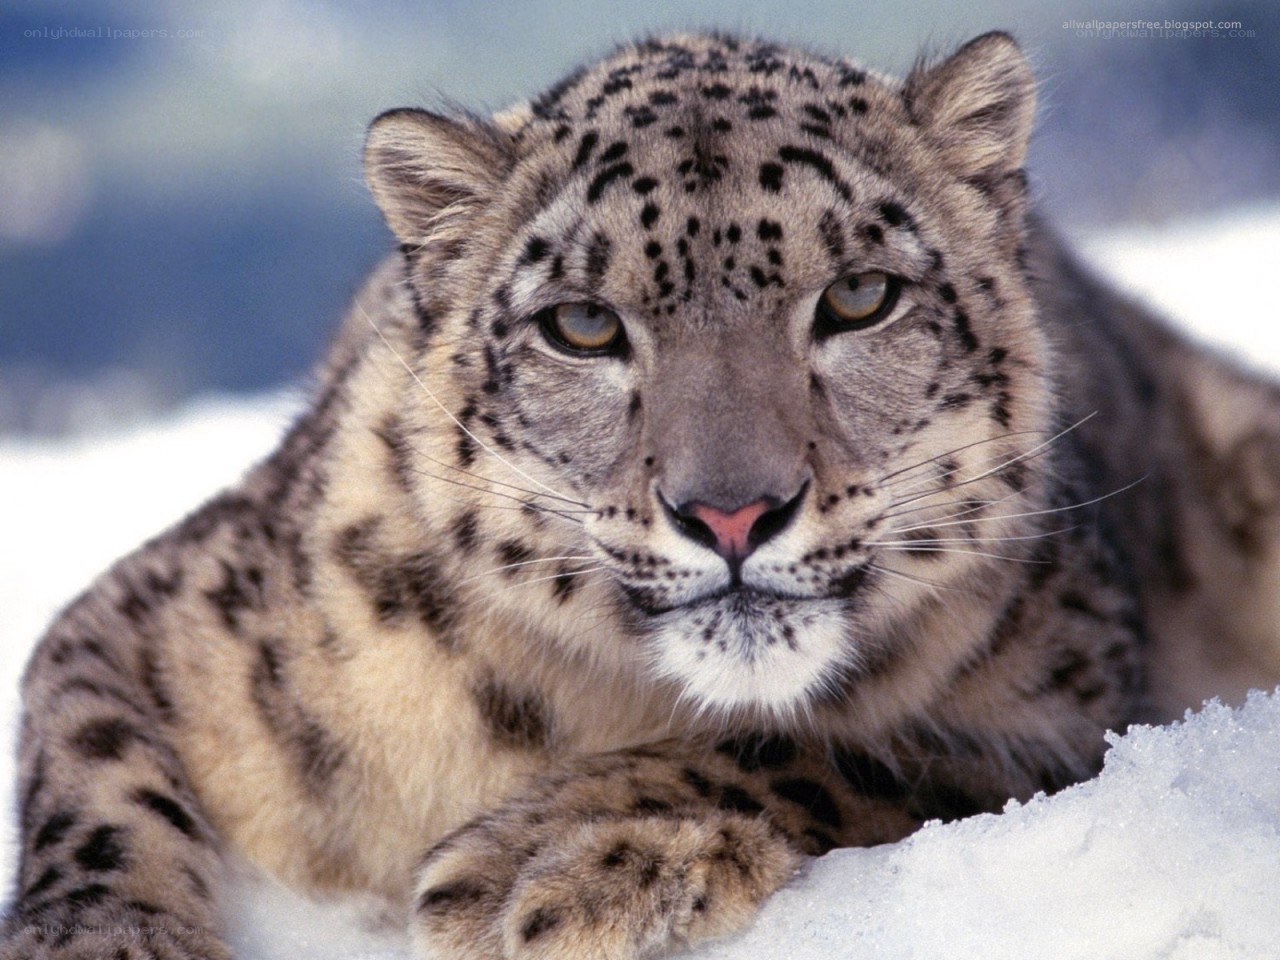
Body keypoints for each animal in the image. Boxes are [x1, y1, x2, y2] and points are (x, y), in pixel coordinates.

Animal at [6, 29, 1280, 960]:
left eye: (859, 296)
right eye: (580, 323)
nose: (731, 511)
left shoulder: (1065, 705)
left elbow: (842, 746)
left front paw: (546, 863)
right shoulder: (156, 617)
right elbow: (93, 770)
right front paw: (102, 942)